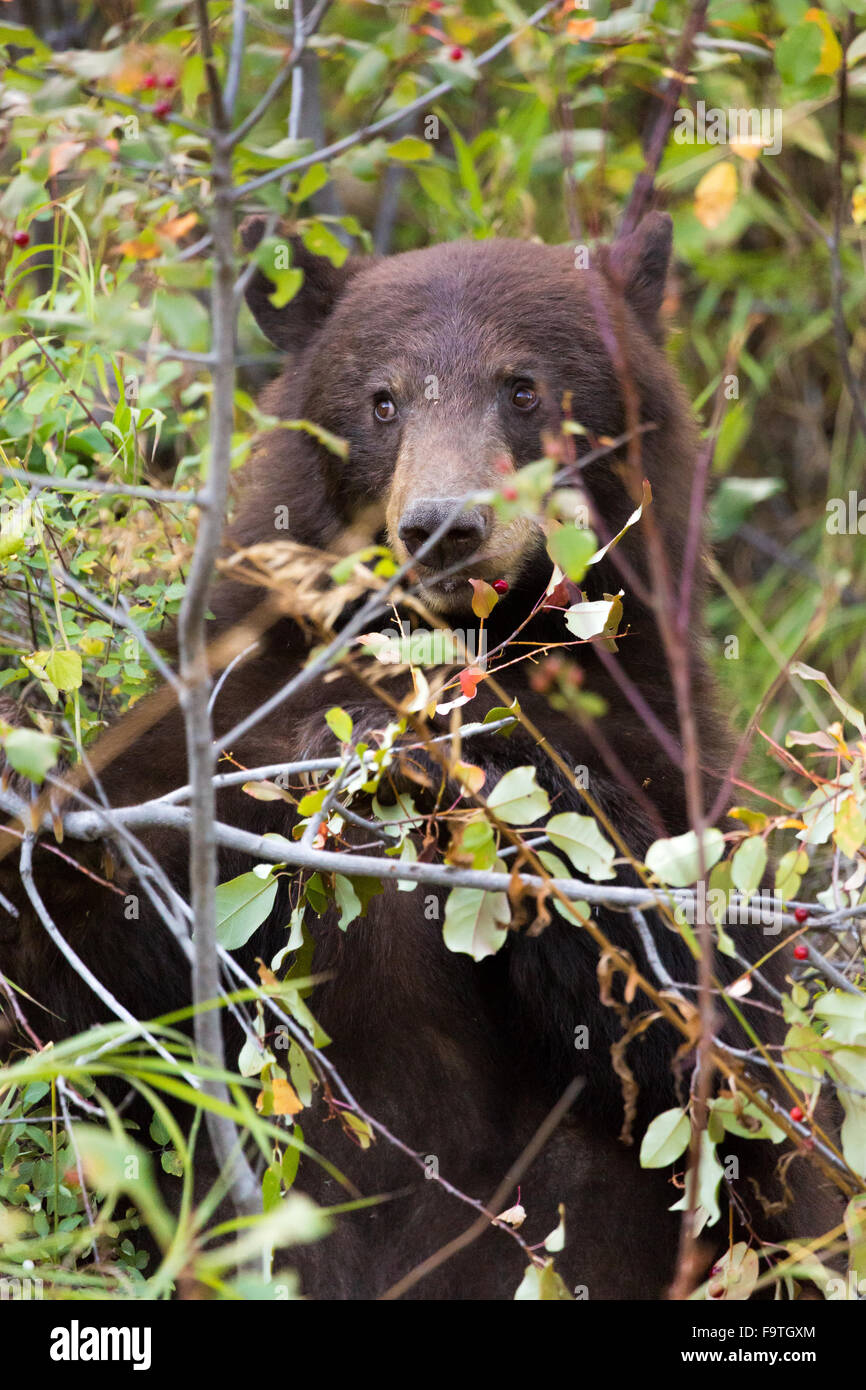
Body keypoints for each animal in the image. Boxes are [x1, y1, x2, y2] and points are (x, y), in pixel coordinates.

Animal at [0, 211, 839, 1295]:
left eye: (523, 388)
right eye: (383, 399)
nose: (443, 526)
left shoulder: (670, 753)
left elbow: (717, 1015)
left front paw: (446, 754)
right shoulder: (223, 709)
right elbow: (70, 939)